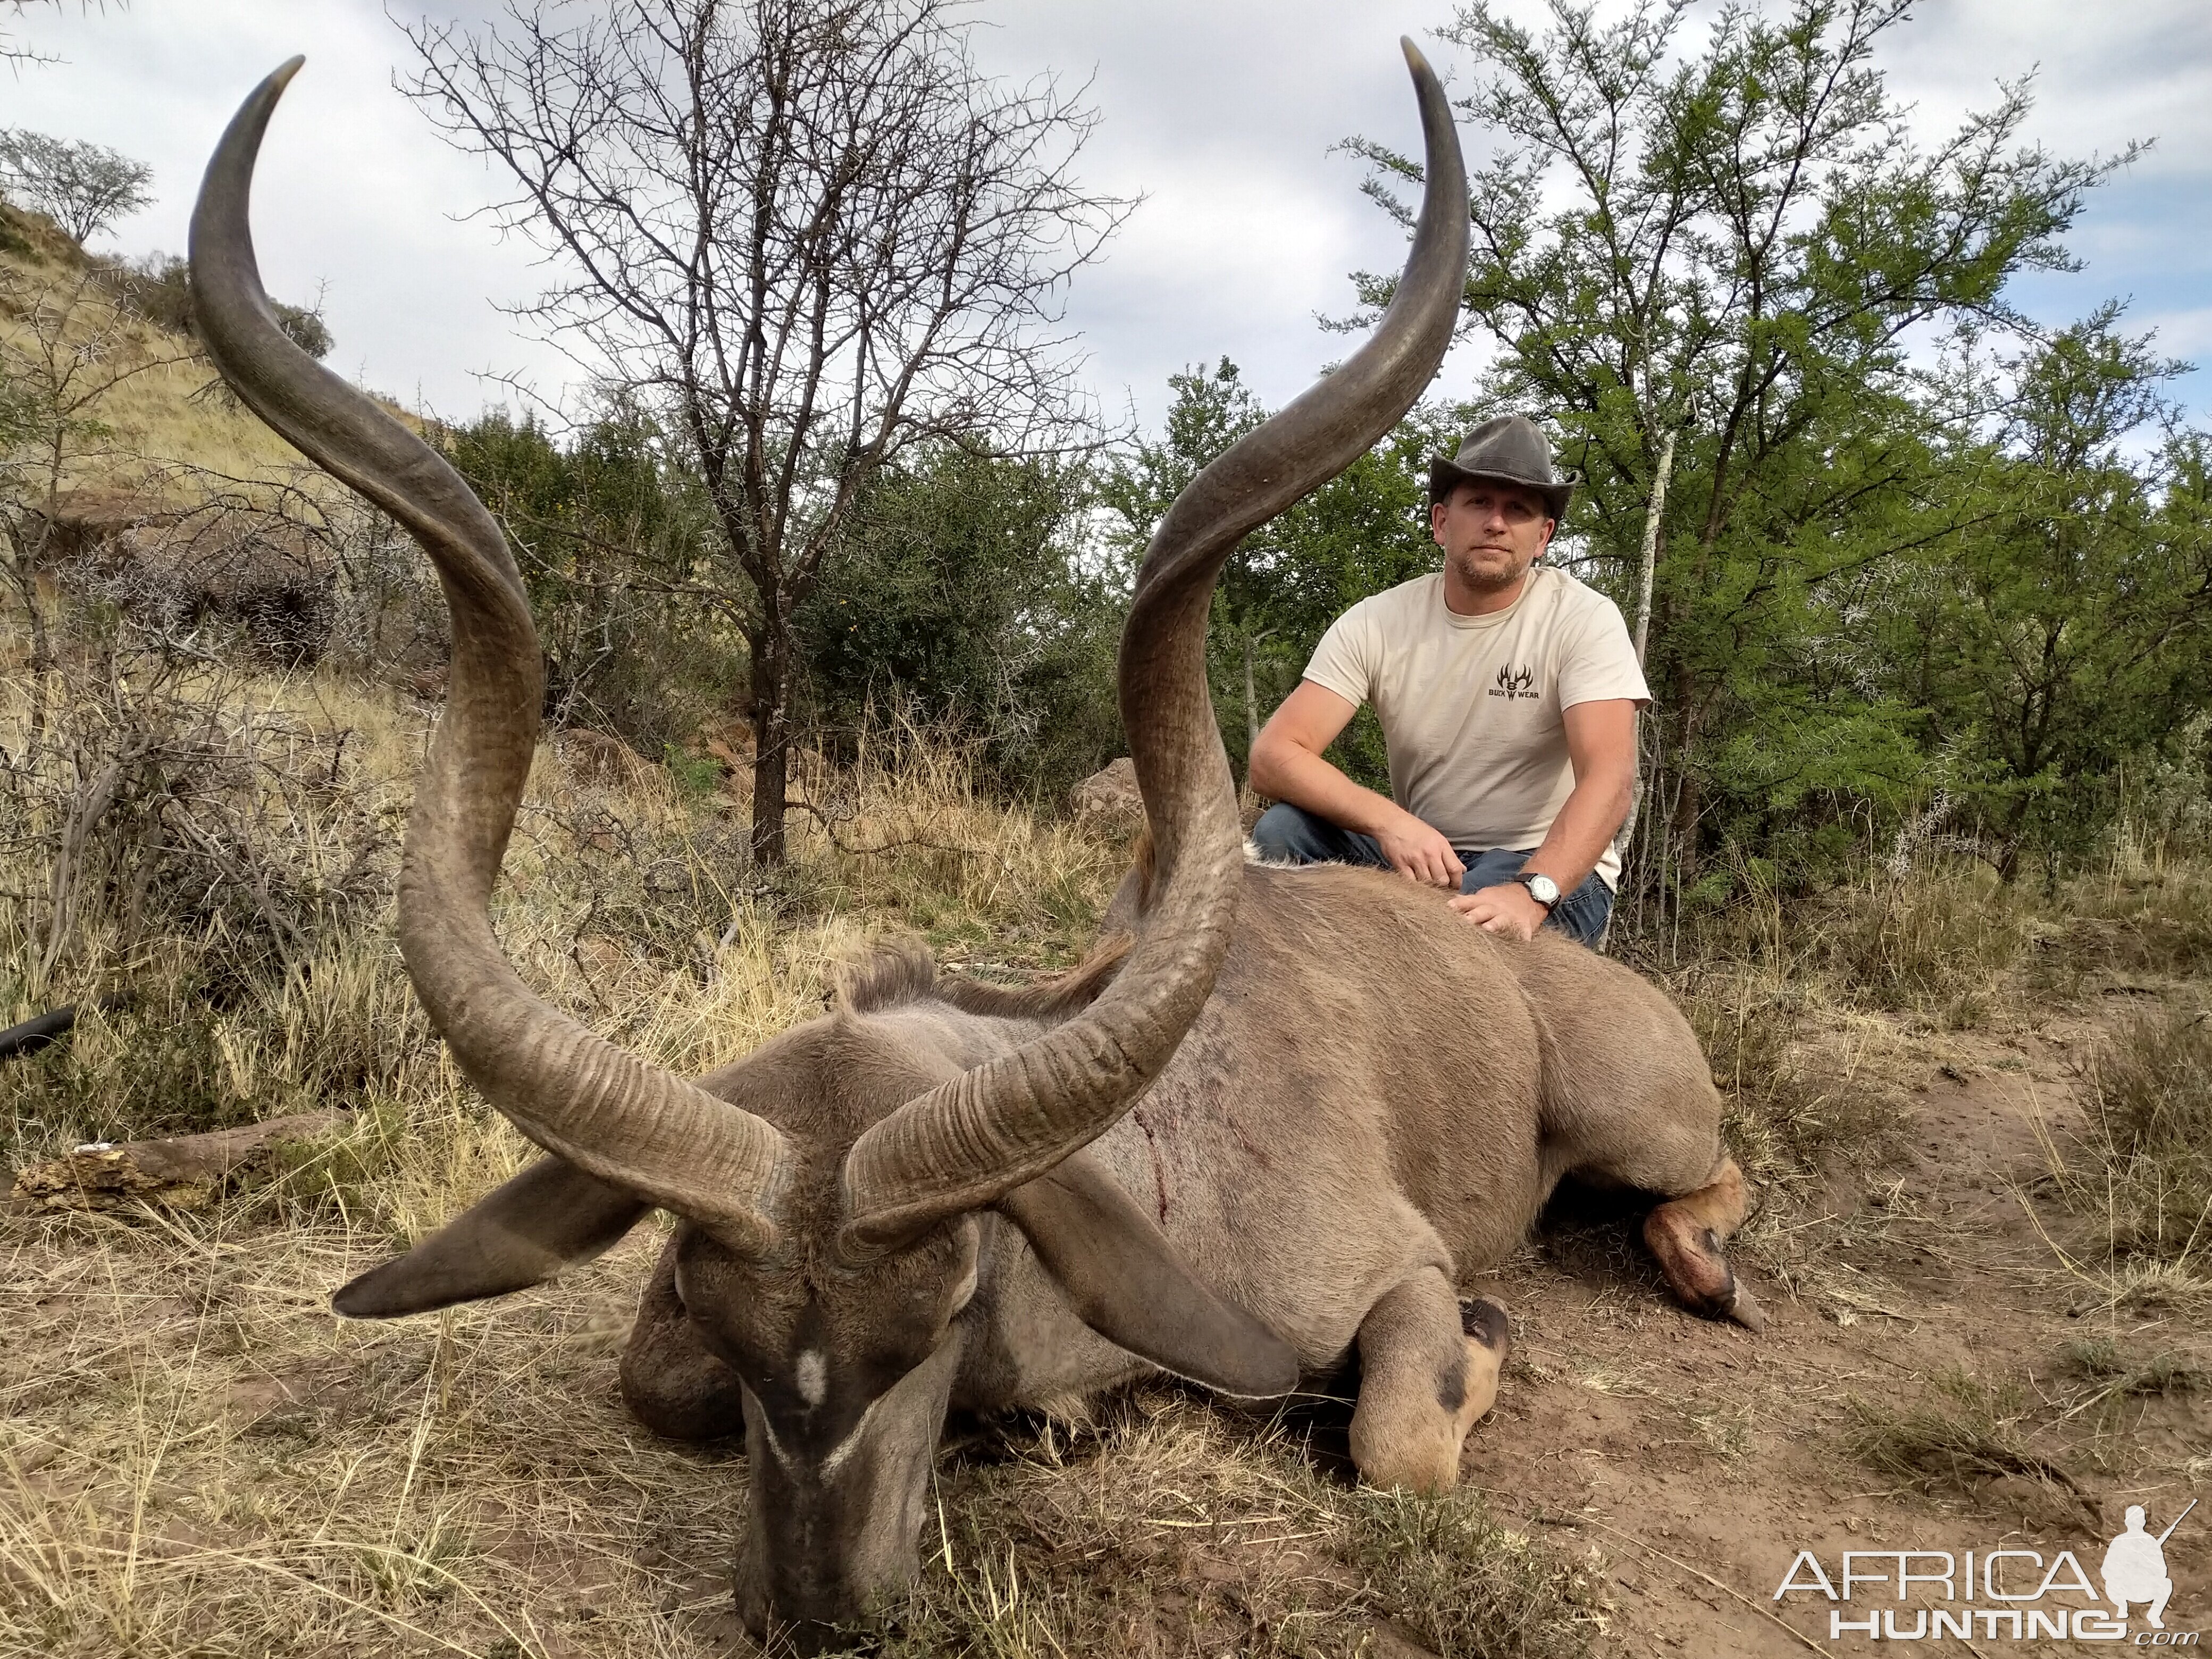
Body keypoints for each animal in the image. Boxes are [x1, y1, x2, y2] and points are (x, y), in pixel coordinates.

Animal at [190, 45, 1761, 1654]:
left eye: (945, 1312)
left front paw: (1477, 1345)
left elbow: (1399, 1438)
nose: (822, 1611)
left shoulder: (1398, 1276)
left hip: (1638, 1114)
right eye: (719, 1315)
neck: (1167, 1150)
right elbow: (652, 1384)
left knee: (1708, 1175)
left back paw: (1704, 1265)